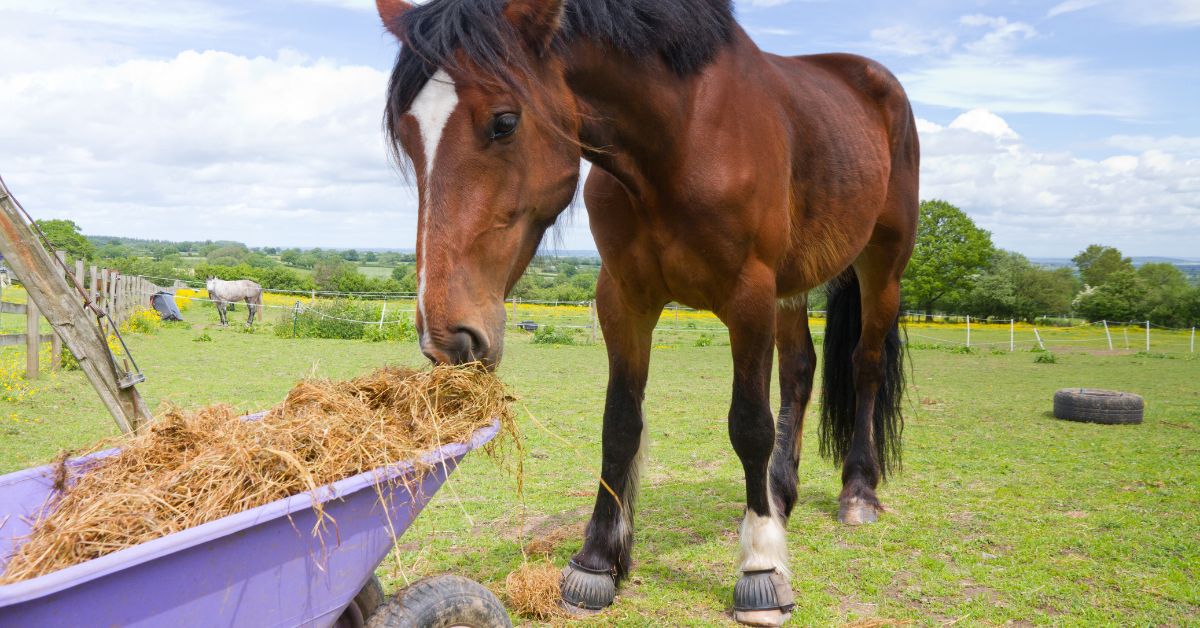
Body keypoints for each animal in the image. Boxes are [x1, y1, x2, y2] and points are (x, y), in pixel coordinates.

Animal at [376, 0, 918, 623]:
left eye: (504, 122)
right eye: (407, 134)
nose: (447, 337)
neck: (682, 135)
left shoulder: (749, 296)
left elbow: (749, 426)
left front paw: (761, 570)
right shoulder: (624, 299)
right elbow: (619, 425)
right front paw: (596, 562)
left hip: (882, 266)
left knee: (865, 367)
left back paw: (858, 493)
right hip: (793, 285)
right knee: (800, 372)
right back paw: (780, 495)